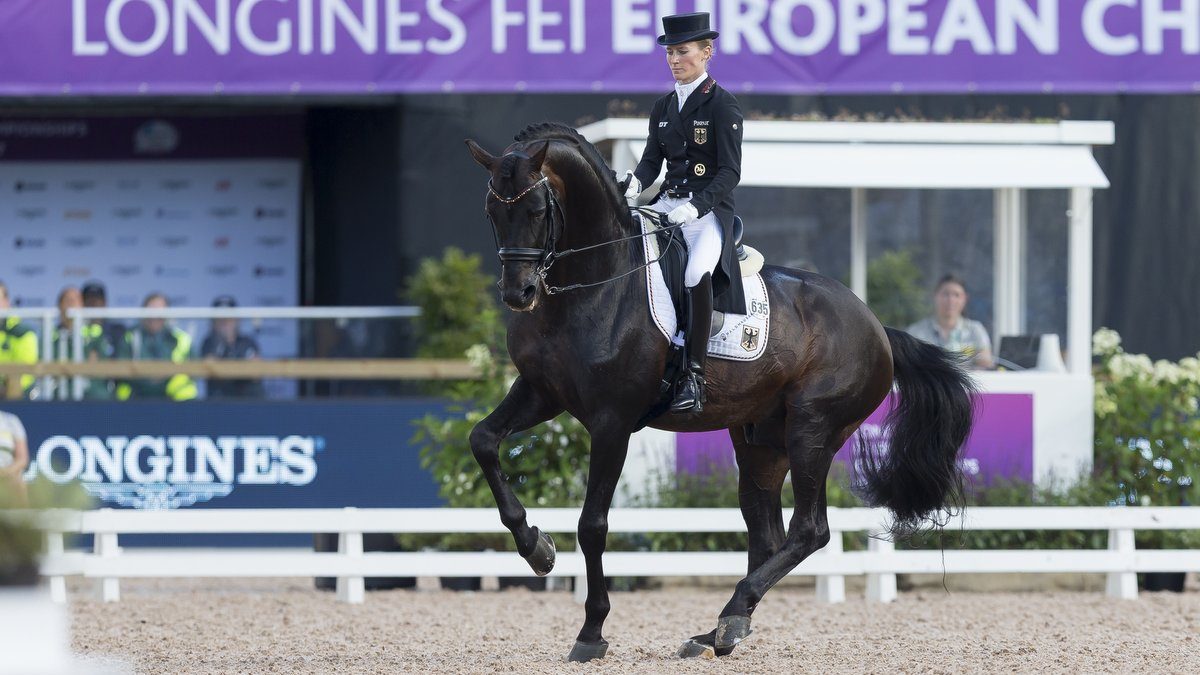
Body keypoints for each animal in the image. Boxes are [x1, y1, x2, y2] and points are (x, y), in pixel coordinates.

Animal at [460, 123, 974, 658]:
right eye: (492, 210)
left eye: (538, 210)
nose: (518, 294)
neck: (594, 282)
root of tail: (876, 326)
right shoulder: (542, 393)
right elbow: (483, 440)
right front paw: (536, 548)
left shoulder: (612, 422)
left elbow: (593, 524)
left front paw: (592, 632)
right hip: (759, 441)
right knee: (766, 535)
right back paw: (722, 629)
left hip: (812, 430)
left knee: (809, 530)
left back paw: (730, 616)